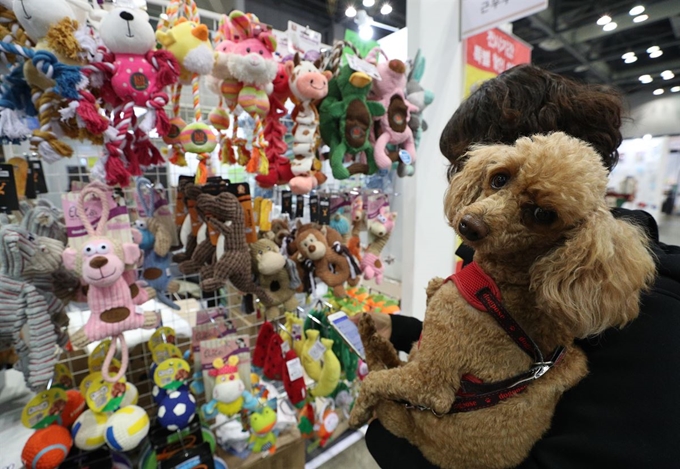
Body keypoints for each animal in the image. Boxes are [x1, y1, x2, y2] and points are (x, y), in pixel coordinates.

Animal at [348, 132, 656, 468]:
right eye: (499, 179)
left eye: (543, 214)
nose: (469, 225)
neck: (498, 284)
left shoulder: (431, 382)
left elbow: (376, 382)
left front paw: (357, 409)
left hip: (403, 420)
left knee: (382, 376)